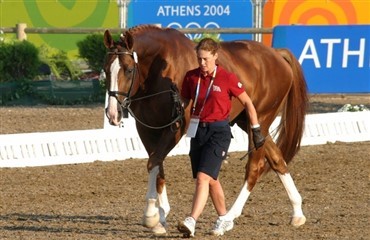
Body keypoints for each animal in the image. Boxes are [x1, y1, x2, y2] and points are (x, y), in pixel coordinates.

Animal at [102, 25, 308, 235]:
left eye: (128, 70)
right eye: (105, 70)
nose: (113, 113)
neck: (157, 71)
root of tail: (276, 54)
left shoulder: (176, 127)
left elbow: (153, 162)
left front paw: (151, 216)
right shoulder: (146, 128)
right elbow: (156, 164)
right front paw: (161, 217)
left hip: (260, 120)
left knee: (254, 167)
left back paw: (229, 216)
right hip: (248, 122)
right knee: (277, 158)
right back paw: (297, 212)